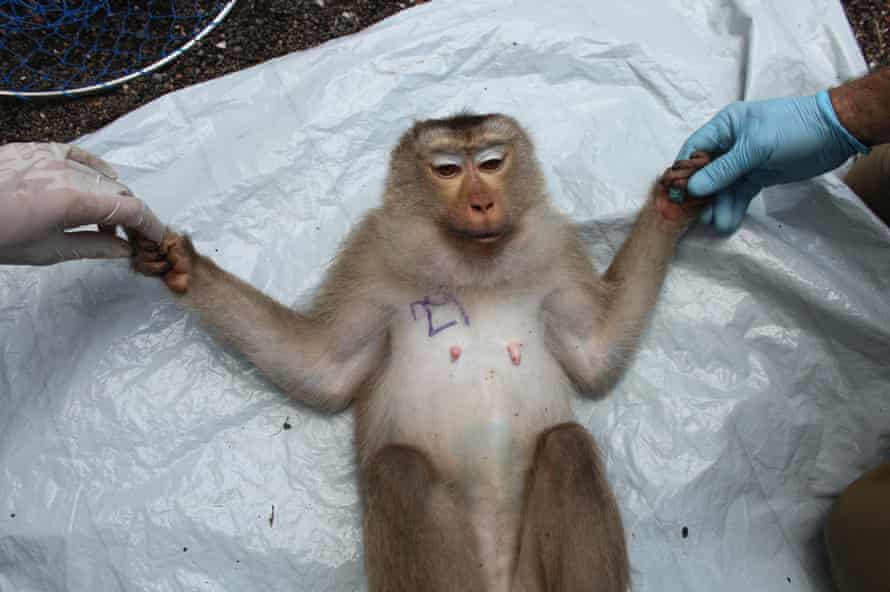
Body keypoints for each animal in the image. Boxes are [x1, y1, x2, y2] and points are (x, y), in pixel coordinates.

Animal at [129, 114, 711, 592]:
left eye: (492, 162)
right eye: (448, 170)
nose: (481, 202)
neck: (473, 266)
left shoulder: (555, 253)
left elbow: (595, 358)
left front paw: (673, 207)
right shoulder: (370, 257)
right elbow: (323, 370)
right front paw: (186, 269)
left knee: (567, 445)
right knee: (399, 469)